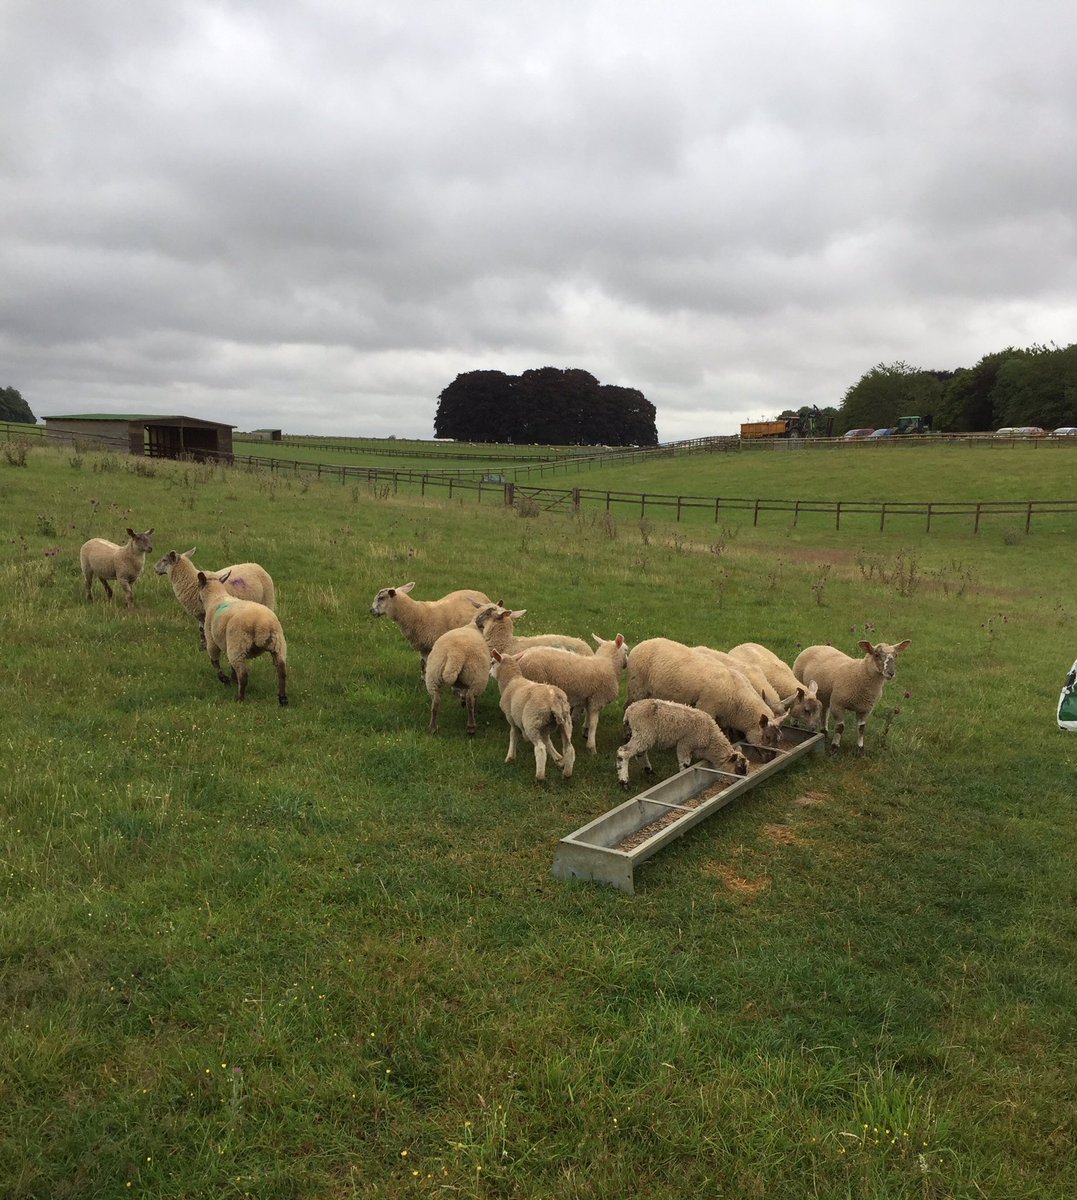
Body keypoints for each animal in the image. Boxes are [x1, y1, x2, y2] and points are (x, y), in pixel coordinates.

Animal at [197, 570, 288, 705]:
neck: (216, 597)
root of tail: (262, 625)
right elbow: (230, 666)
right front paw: (232, 680)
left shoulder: (212, 640)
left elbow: (215, 662)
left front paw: (225, 680)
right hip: (278, 645)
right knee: (281, 671)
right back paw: (283, 699)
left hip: (238, 644)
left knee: (243, 674)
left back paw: (240, 698)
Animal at [489, 649, 576, 782]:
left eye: (492, 662)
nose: (489, 673)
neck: (511, 681)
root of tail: (554, 698)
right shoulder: (544, 728)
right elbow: (548, 742)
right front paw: (558, 760)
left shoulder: (511, 718)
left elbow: (513, 735)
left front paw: (510, 757)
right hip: (565, 722)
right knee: (569, 748)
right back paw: (567, 773)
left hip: (532, 722)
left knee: (540, 749)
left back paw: (539, 777)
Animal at [617, 698, 749, 789]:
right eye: (739, 768)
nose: (743, 780)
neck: (711, 739)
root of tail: (629, 711)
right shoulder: (685, 744)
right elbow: (684, 764)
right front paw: (683, 776)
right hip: (643, 732)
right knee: (623, 752)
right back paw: (624, 782)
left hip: (644, 735)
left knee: (640, 753)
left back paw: (649, 770)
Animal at [626, 637, 790, 753]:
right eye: (767, 737)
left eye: (780, 738)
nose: (770, 758)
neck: (737, 701)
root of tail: (643, 642)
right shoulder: (707, 707)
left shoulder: (724, 716)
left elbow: (725, 731)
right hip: (636, 686)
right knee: (627, 705)